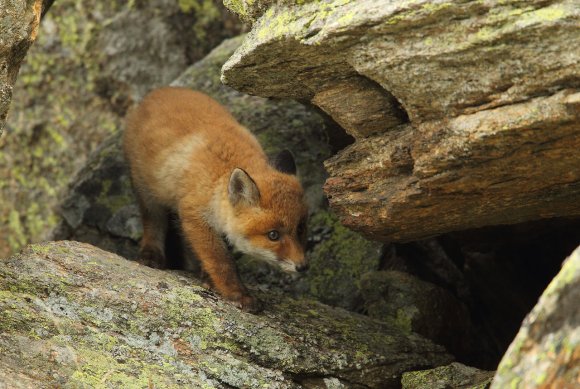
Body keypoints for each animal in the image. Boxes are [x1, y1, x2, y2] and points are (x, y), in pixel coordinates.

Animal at [123, 86, 308, 310]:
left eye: (300, 229)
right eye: (273, 235)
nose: (303, 267)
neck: (218, 179)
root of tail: (160, 90)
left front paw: (209, 279)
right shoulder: (195, 215)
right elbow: (221, 261)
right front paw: (237, 294)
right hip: (147, 193)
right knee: (154, 223)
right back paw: (151, 254)